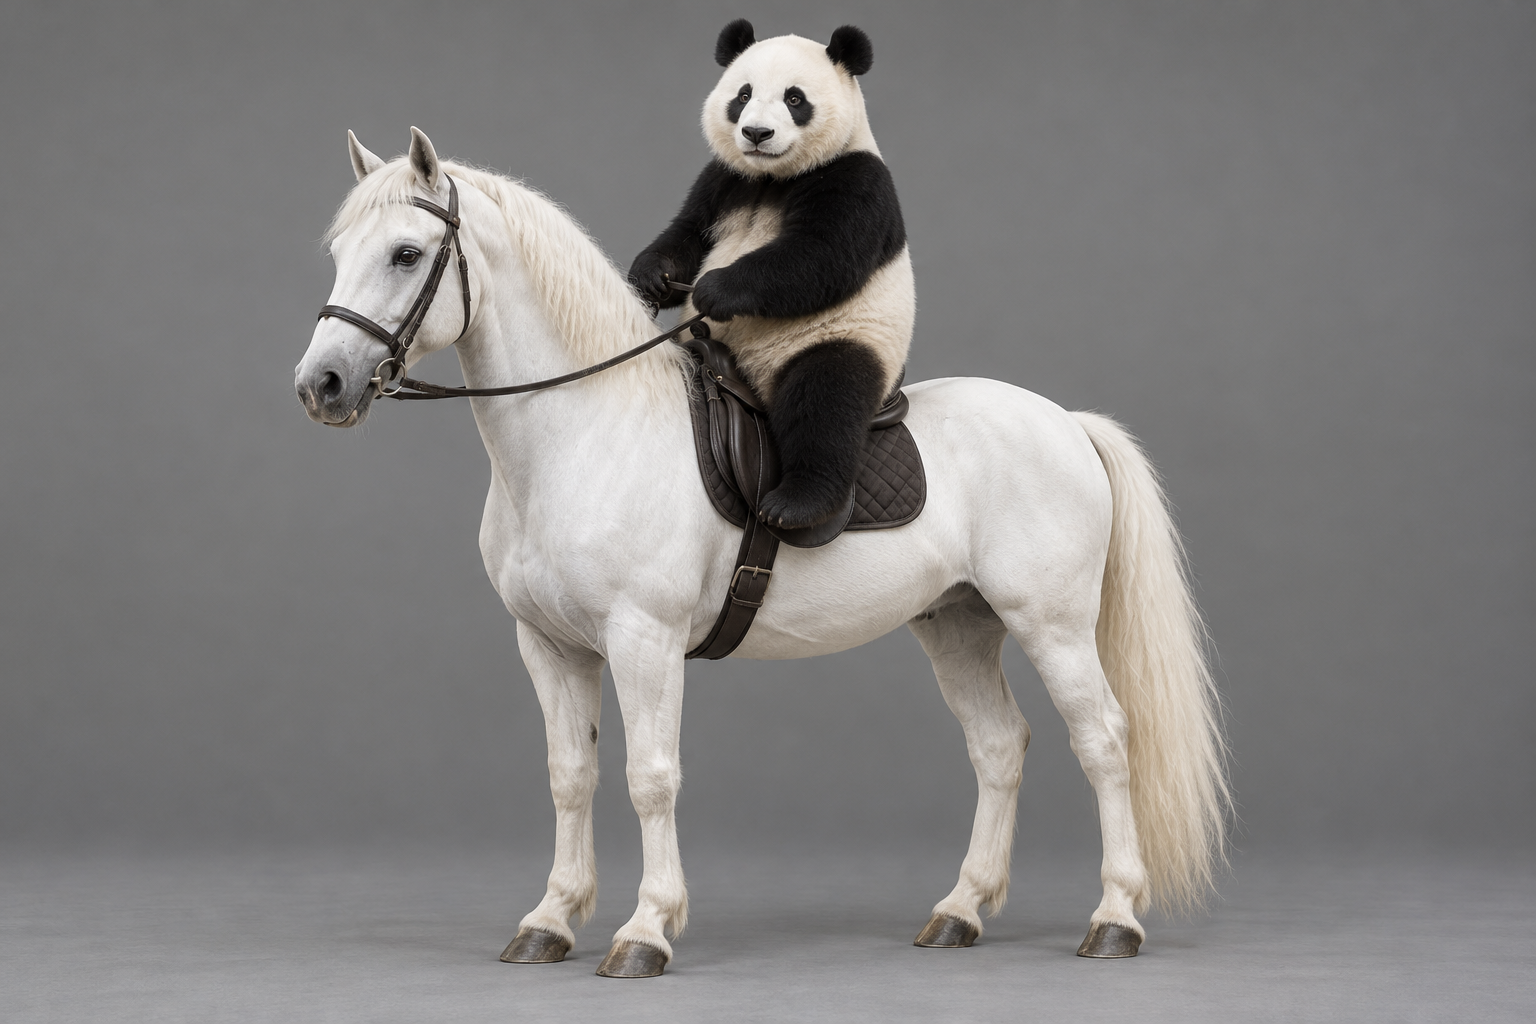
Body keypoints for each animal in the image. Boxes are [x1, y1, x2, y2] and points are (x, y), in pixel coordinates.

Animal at [294, 128, 1229, 978]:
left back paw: (1114, 919)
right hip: (958, 625)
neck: (585, 432)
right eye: (338, 252)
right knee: (1000, 748)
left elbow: (649, 776)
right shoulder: (549, 646)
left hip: (1053, 623)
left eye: (407, 253)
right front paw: (551, 920)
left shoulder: (643, 640)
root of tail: (1066, 421)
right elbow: (570, 775)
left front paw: (645, 930)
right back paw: (960, 911)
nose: (321, 385)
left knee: (1104, 741)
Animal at [629, 19, 915, 530]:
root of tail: (756, 381)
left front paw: (715, 290)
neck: (773, 178)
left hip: (843, 338)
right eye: (742, 94)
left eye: (795, 98)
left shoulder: (856, 180)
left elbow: (818, 258)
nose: (756, 133)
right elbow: (688, 232)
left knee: (825, 400)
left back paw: (797, 502)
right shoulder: (724, 179)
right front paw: (653, 276)